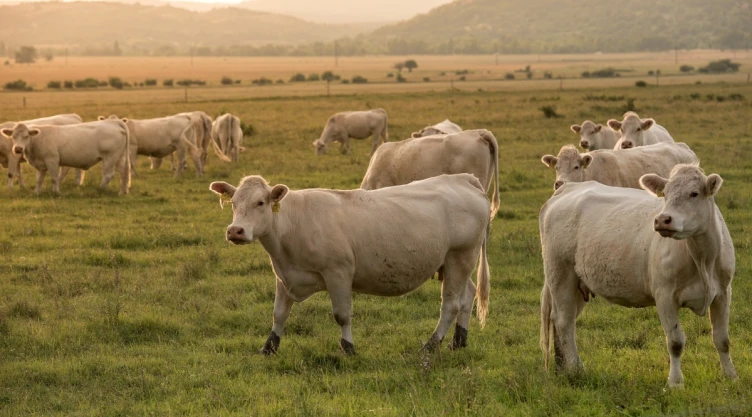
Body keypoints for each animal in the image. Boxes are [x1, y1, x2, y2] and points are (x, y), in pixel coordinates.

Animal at [1, 120, 131, 195]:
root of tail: (113, 122)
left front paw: (56, 192)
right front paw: (37, 192)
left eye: (26, 136)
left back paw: (101, 189)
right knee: (124, 173)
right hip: (120, 157)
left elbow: (54, 178)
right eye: (13, 136)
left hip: (110, 157)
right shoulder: (40, 164)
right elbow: (39, 179)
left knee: (108, 174)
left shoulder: (52, 160)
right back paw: (122, 191)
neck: (38, 139)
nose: (18, 149)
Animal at [209, 173, 491, 355]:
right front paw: (269, 347)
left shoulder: (338, 273)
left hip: (460, 257)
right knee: (468, 295)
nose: (235, 231)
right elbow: (279, 314)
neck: (293, 223)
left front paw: (348, 348)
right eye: (234, 204)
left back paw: (430, 346)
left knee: (451, 305)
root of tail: (463, 179)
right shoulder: (284, 276)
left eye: (260, 202)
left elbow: (342, 315)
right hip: (455, 263)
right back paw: (458, 341)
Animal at [539, 164, 737, 388]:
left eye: (694, 193)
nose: (662, 219)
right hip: (560, 273)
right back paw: (575, 369)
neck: (703, 259)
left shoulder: (723, 293)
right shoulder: (665, 296)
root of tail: (567, 188)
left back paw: (562, 367)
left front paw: (731, 375)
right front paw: (675, 383)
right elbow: (675, 342)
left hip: (578, 284)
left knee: (563, 320)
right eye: (665, 194)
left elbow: (722, 339)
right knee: (564, 321)